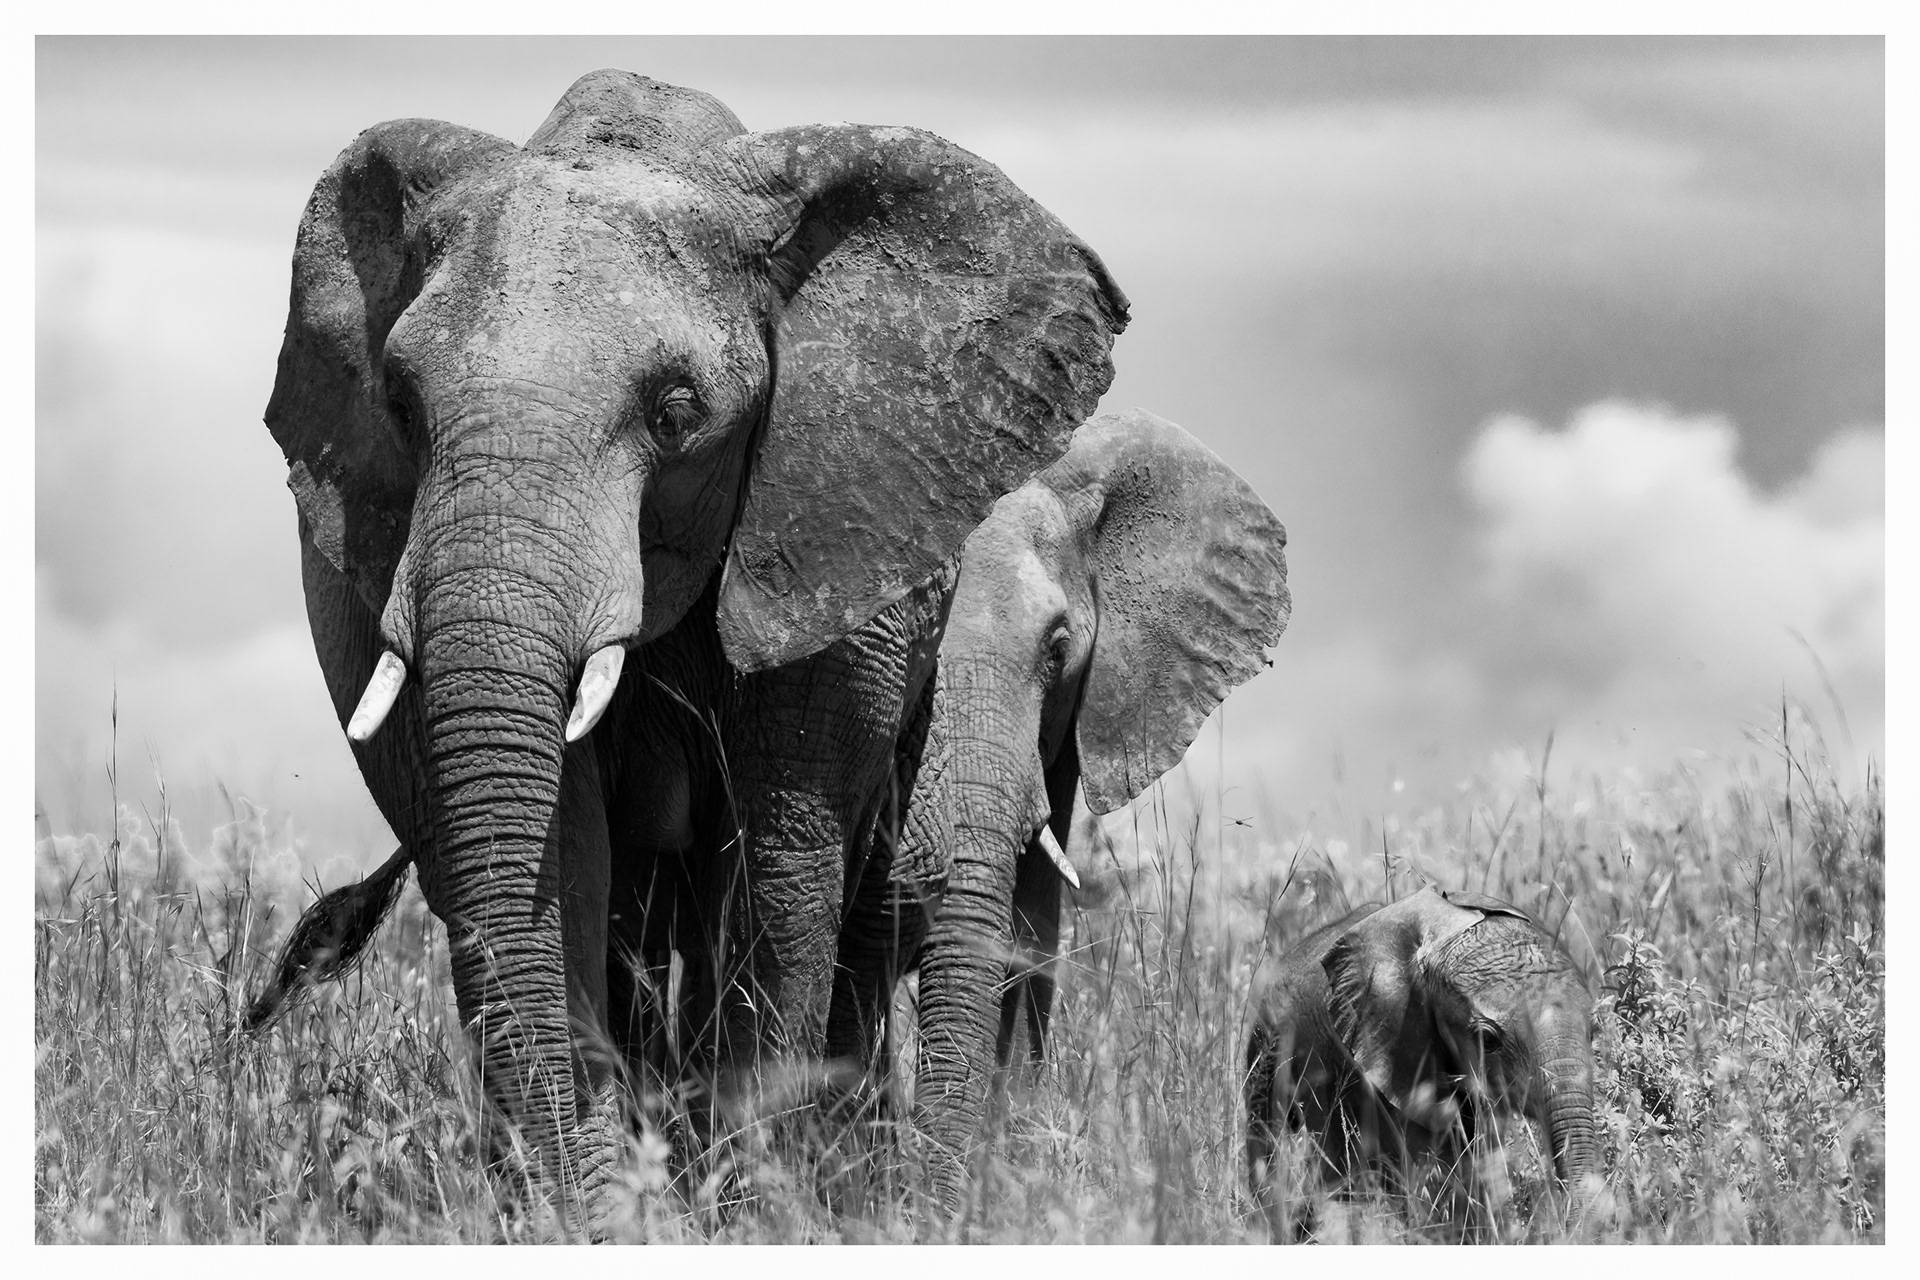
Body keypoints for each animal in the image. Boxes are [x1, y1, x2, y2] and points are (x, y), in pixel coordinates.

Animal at [256, 67, 1127, 1231]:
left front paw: (753, 1210)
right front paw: (600, 1206)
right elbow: (561, 848)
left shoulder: (828, 537)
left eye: (677, 412)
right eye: (399, 404)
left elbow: (779, 858)